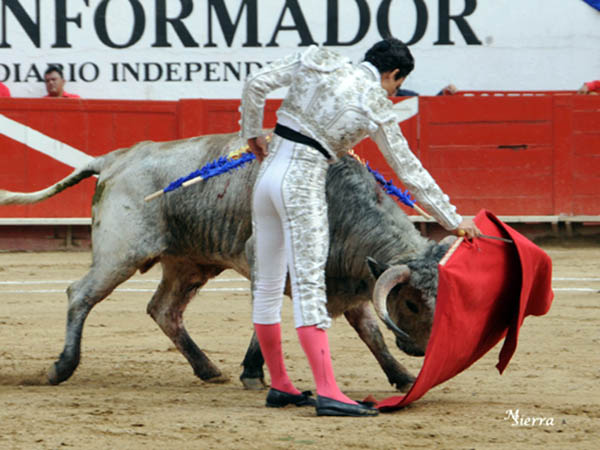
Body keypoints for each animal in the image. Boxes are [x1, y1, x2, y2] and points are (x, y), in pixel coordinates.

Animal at [0, 132, 454, 392]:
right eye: (410, 302)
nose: (423, 349)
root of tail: (115, 158)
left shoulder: (343, 280)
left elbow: (371, 333)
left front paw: (402, 377)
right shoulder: (266, 261)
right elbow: (266, 318)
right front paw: (254, 373)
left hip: (187, 263)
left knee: (163, 310)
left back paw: (207, 369)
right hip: (121, 253)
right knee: (80, 294)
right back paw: (61, 368)